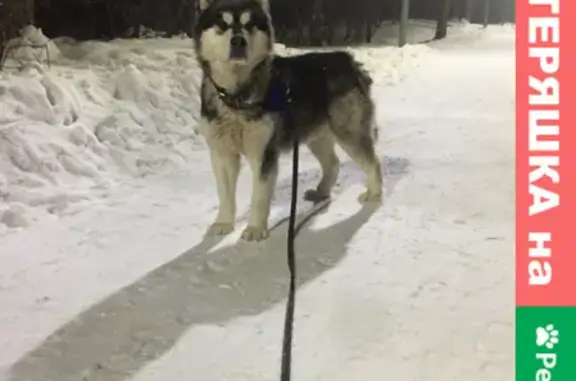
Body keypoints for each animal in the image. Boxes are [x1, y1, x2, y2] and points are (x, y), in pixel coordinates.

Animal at [194, 0, 382, 240]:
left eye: (249, 24)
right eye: (222, 24)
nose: (238, 41)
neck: (237, 96)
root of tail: (348, 60)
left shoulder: (264, 153)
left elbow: (259, 196)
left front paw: (255, 228)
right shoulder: (222, 152)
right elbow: (225, 194)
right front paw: (224, 223)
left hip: (348, 132)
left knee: (373, 162)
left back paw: (374, 194)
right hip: (316, 136)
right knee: (333, 163)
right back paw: (321, 192)